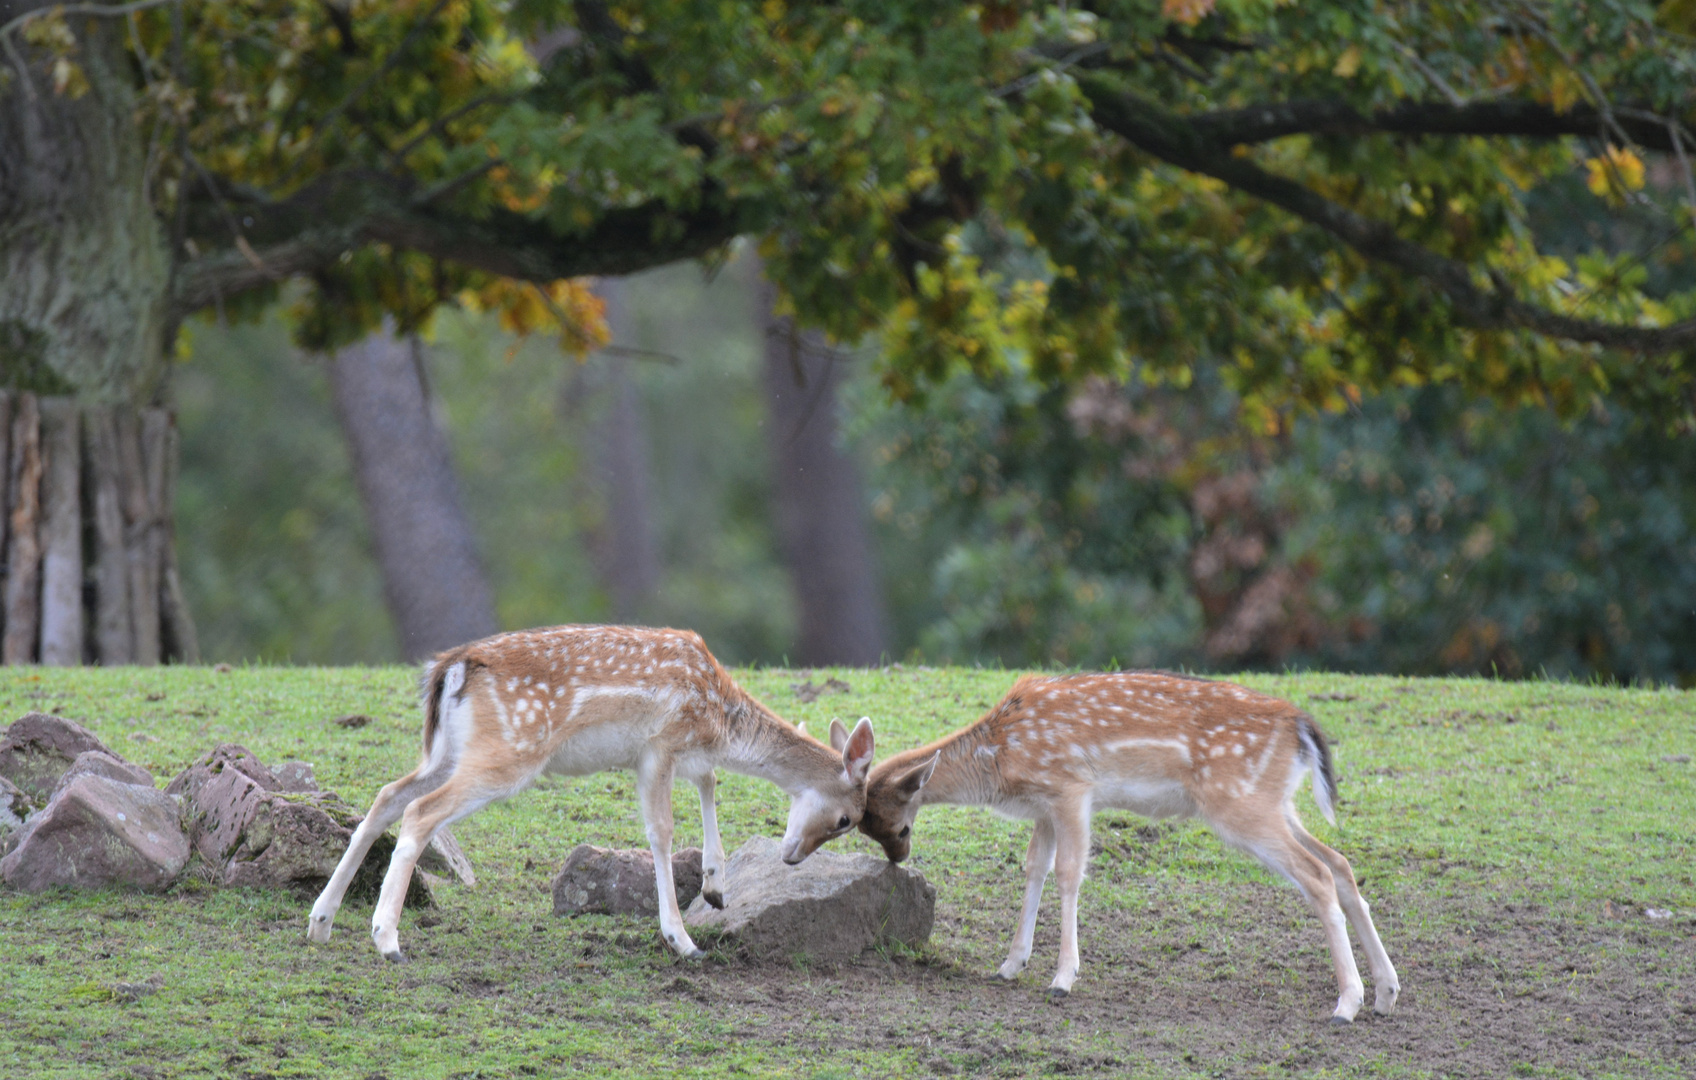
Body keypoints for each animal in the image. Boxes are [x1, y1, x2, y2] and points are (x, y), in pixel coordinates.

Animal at [306, 623, 881, 963]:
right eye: (847, 820)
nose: (792, 858)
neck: (720, 717)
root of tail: (451, 668)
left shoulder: (684, 753)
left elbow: (710, 782)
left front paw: (717, 887)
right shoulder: (659, 746)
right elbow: (661, 831)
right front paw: (682, 940)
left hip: (447, 751)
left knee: (386, 797)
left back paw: (321, 922)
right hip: (510, 751)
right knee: (421, 812)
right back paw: (387, 940)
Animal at [861, 664, 1404, 1017]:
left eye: (896, 825)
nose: (900, 857)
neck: (1002, 761)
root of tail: (1302, 728)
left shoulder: (1071, 788)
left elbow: (1069, 874)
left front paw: (1062, 979)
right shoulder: (1044, 807)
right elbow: (1034, 869)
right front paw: (1010, 965)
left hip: (1240, 805)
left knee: (1318, 875)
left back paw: (1347, 1003)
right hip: (1277, 803)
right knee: (1340, 863)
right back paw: (1385, 993)